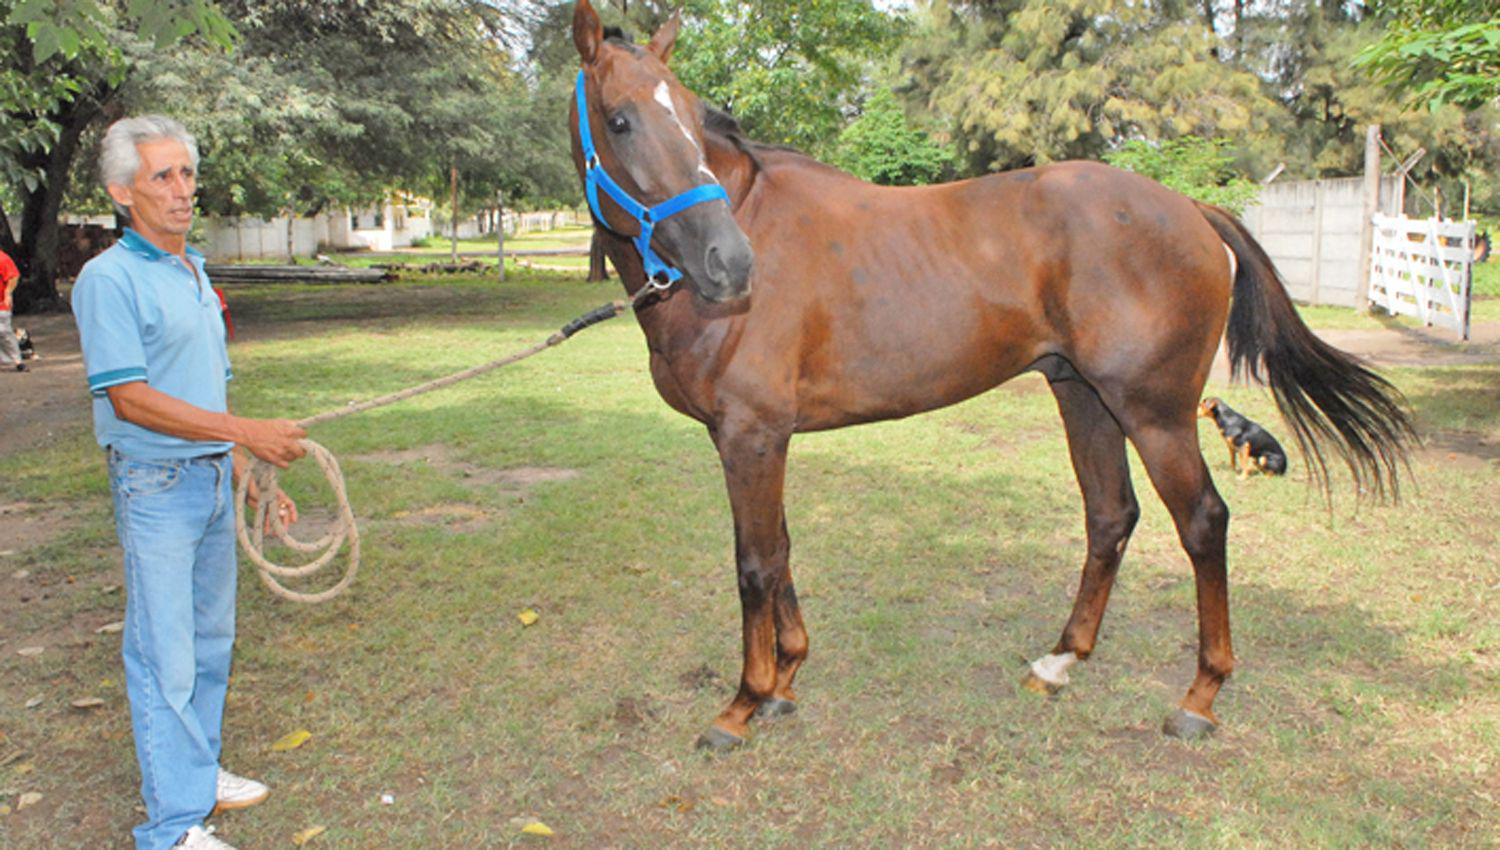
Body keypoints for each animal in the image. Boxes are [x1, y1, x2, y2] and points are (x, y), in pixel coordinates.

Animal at [567, 0, 1410, 749]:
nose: (729, 263)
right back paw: (1060, 661)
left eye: (689, 114)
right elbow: (778, 551)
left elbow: (752, 564)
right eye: (621, 119)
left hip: (1155, 412)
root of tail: (1191, 210)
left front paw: (742, 704)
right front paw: (786, 681)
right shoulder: (757, 439)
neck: (749, 221)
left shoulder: (751, 436)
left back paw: (1199, 698)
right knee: (1110, 517)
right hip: (1084, 396)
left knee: (1202, 523)